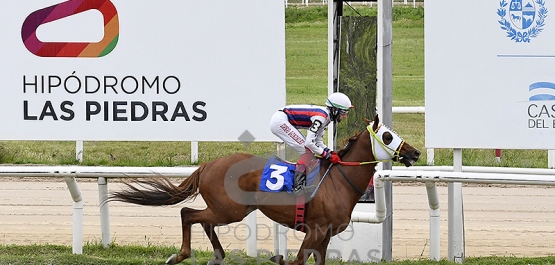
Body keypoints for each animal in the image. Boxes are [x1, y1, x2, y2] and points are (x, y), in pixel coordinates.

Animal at [107, 114, 422, 264]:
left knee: (199, 219)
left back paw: (217, 257)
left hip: (231, 209)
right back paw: (180, 255)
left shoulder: (325, 236)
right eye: (388, 136)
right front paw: (278, 258)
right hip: (229, 210)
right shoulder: (315, 231)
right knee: (188, 214)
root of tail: (208, 164)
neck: (338, 182)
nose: (415, 152)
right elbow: (296, 262)